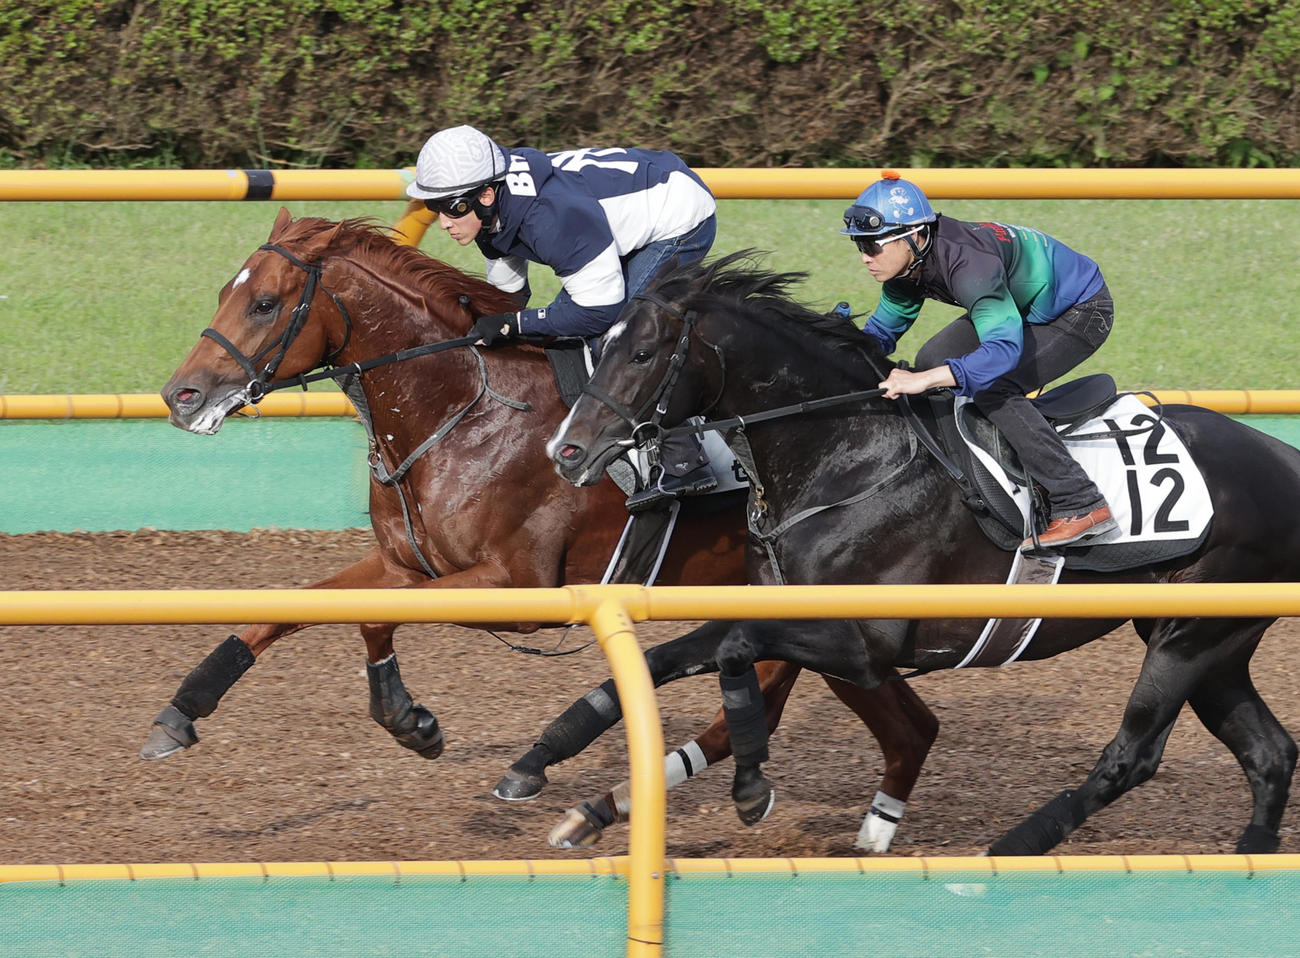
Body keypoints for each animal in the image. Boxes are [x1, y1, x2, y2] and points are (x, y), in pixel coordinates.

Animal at [143, 209, 938, 852]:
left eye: (265, 303)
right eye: (225, 292)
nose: (181, 396)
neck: (463, 410)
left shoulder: (517, 587)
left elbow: (373, 615)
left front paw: (411, 719)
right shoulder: (409, 563)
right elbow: (310, 609)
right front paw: (185, 711)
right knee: (843, 716)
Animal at [544, 251, 1299, 855]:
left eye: (642, 355)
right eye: (602, 348)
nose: (566, 451)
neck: (849, 456)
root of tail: (1282, 458)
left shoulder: (867, 645)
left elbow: (731, 654)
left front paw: (751, 788)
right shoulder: (784, 613)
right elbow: (665, 657)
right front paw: (548, 760)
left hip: (1188, 635)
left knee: (1133, 754)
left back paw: (1016, 845)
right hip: (1212, 641)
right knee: (1270, 752)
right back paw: (1248, 861)